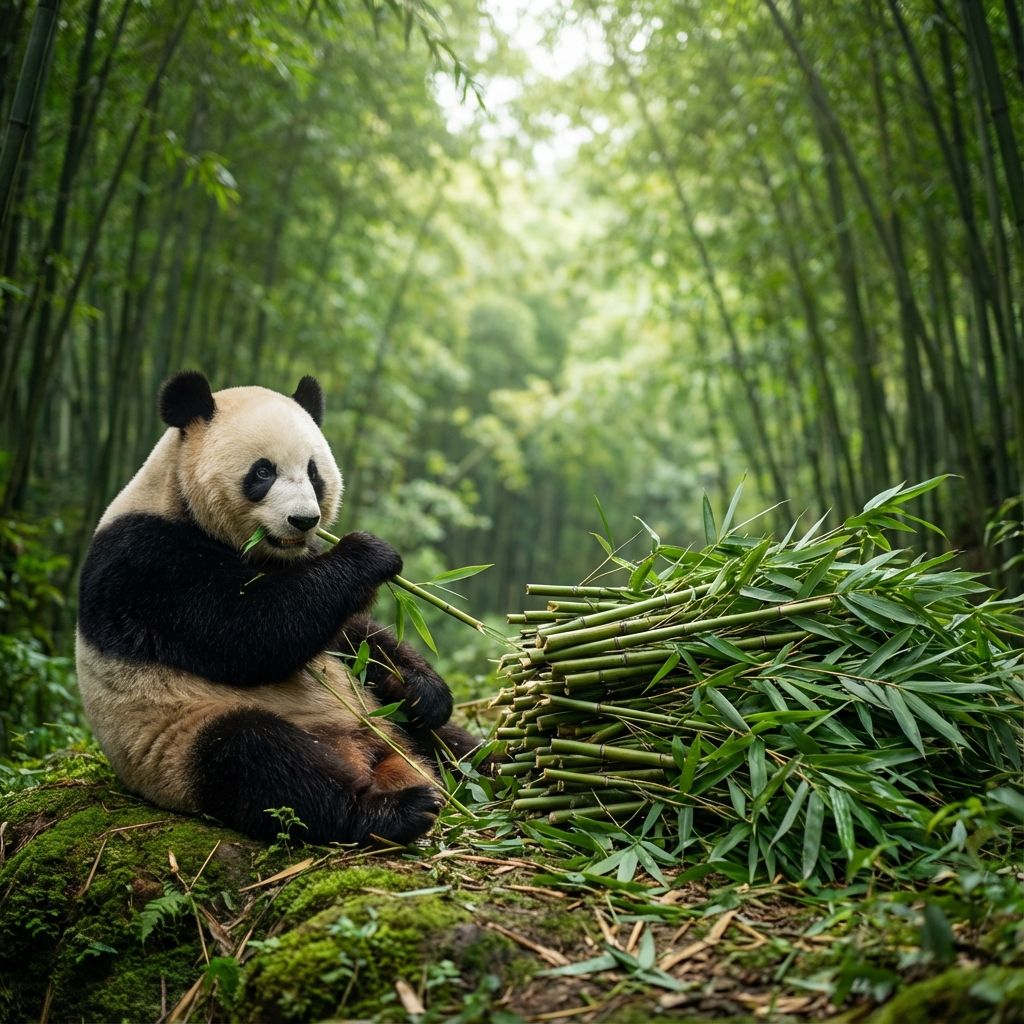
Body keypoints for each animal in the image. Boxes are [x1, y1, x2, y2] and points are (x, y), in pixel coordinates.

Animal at [76, 370, 482, 846]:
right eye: (263, 471)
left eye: (313, 472)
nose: (303, 521)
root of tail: (368, 750)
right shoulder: (147, 562)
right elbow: (249, 634)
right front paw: (369, 553)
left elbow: (352, 634)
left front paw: (419, 689)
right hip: (183, 739)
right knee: (262, 762)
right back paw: (398, 810)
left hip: (387, 720)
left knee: (459, 746)